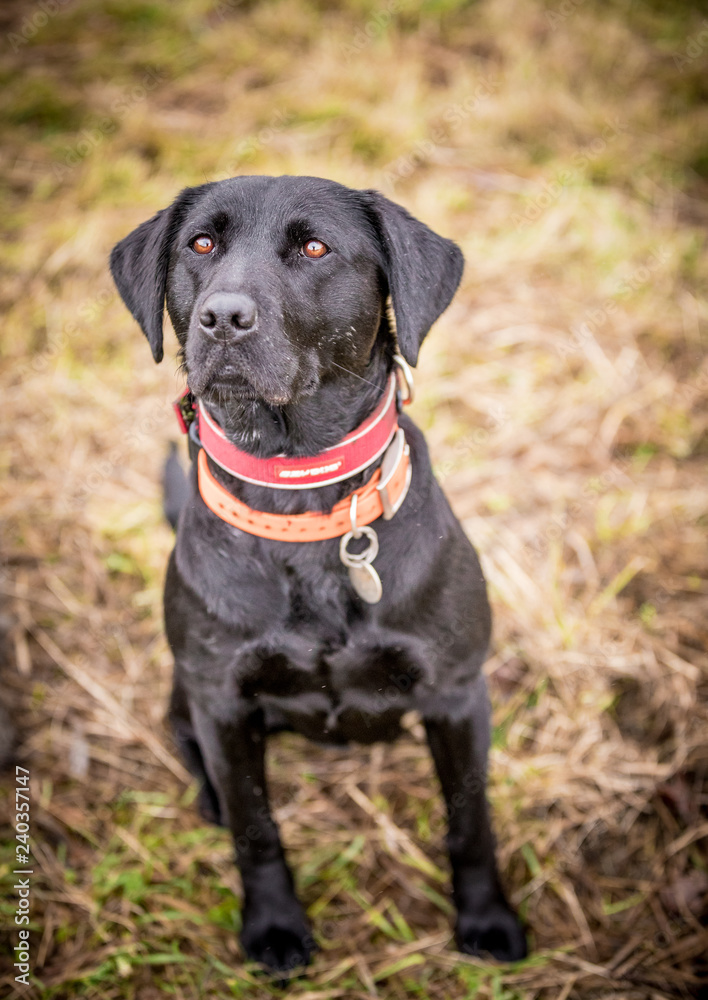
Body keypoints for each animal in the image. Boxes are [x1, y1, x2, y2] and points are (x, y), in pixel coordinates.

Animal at [110, 176, 524, 972]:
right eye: (200, 244)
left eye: (313, 248)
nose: (222, 317)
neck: (300, 500)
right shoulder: (223, 702)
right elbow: (256, 829)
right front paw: (273, 926)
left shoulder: (457, 693)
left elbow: (469, 819)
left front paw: (487, 918)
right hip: (187, 695)